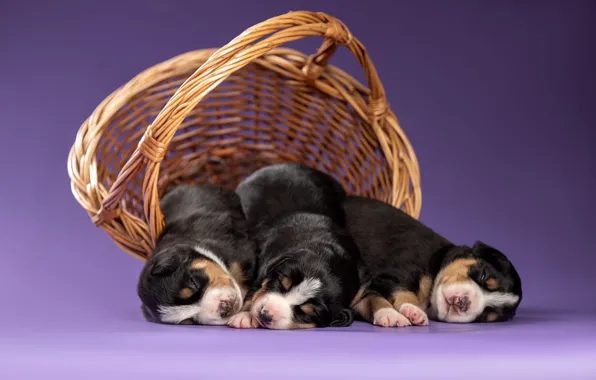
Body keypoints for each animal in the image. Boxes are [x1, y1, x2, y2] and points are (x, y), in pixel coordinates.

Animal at [344, 196, 520, 326]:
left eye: (486, 314)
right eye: (484, 275)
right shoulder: (387, 277)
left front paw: (402, 313)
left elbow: (371, 300)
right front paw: (404, 311)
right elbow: (399, 292)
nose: (463, 302)